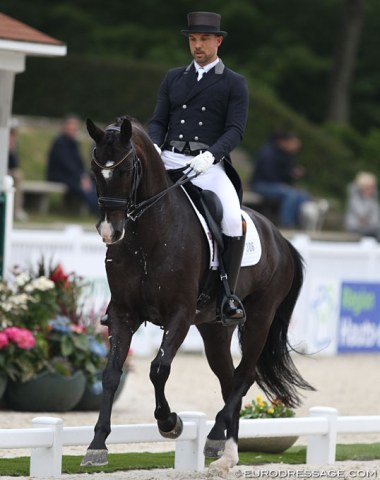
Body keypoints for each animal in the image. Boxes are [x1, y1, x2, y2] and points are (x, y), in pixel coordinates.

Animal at [81, 115, 314, 472]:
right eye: (95, 170)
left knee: (244, 377)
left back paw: (216, 435)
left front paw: (170, 422)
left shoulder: (179, 314)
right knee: (229, 380)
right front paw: (97, 444)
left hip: (259, 318)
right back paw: (226, 449)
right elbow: (110, 374)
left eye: (126, 170)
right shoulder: (123, 314)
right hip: (214, 329)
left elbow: (158, 369)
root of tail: (280, 238)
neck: (147, 236)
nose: (110, 232)